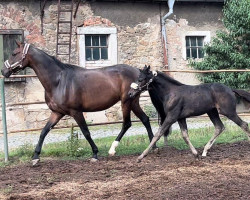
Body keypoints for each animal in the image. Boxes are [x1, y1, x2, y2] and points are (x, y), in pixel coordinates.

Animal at [1, 41, 154, 165]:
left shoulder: (76, 112)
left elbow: (86, 132)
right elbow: (43, 132)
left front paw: (95, 154)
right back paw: (153, 146)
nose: (3, 71)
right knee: (145, 119)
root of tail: (138, 72)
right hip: (133, 101)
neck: (58, 81)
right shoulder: (57, 113)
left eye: (14, 53)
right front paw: (35, 158)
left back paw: (113, 149)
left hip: (126, 102)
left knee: (127, 123)